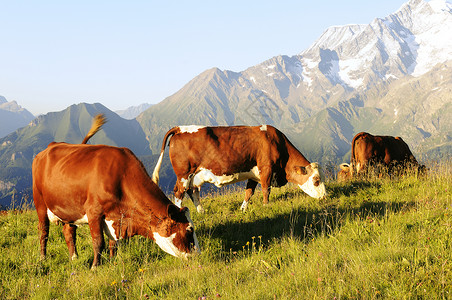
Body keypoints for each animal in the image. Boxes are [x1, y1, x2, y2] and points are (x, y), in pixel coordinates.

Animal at [32, 114, 199, 268]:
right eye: (189, 230)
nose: (199, 254)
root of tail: (49, 147)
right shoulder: (94, 212)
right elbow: (98, 241)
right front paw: (95, 266)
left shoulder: (115, 218)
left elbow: (113, 243)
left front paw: (112, 262)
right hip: (40, 202)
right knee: (43, 232)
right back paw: (42, 258)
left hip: (69, 208)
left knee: (68, 231)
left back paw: (74, 258)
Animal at [152, 125, 324, 212]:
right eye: (316, 180)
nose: (324, 196)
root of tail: (179, 128)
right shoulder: (266, 169)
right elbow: (266, 190)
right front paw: (266, 206)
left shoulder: (253, 174)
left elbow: (249, 192)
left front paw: (243, 209)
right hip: (184, 173)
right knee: (178, 193)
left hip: (194, 176)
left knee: (192, 191)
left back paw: (201, 211)